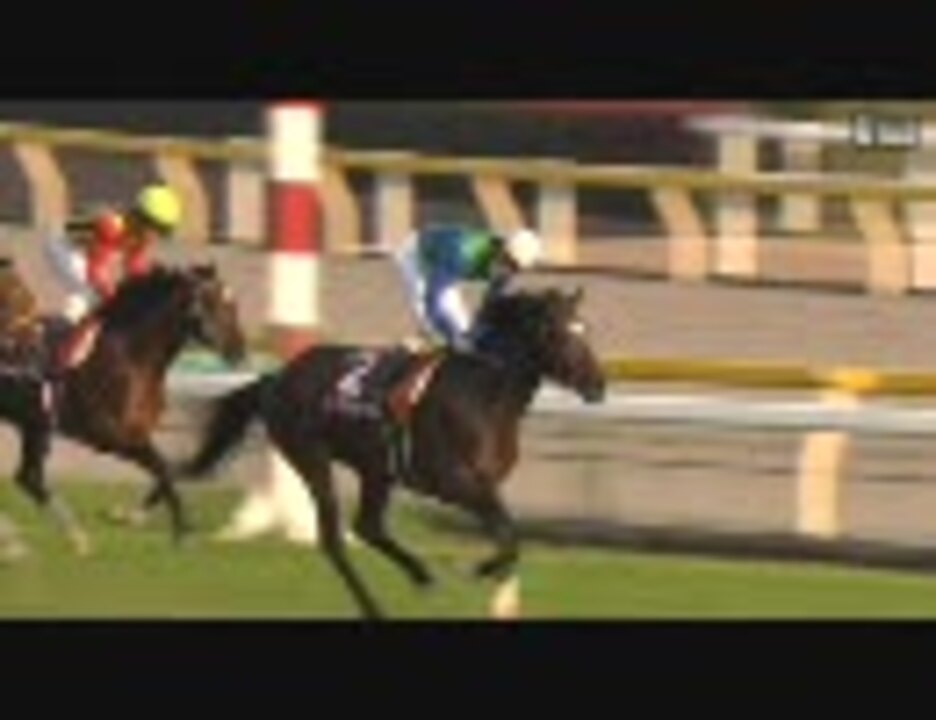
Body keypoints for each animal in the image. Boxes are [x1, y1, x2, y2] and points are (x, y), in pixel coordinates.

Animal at [0, 262, 246, 555]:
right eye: (213, 302)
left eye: (233, 303)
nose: (239, 349)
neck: (130, 357)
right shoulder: (116, 440)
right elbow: (164, 469)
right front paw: (180, 530)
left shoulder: (137, 435)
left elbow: (171, 470)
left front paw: (130, 516)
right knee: (29, 477)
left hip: (33, 425)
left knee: (29, 478)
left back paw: (63, 539)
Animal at [177, 286, 607, 620]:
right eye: (558, 333)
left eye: (585, 330)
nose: (598, 386)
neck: (485, 394)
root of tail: (277, 377)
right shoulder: (454, 484)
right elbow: (509, 536)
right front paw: (477, 569)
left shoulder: (485, 486)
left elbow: (508, 537)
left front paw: (497, 591)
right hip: (311, 458)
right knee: (333, 539)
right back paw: (376, 605)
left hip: (375, 469)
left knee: (367, 526)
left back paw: (420, 575)